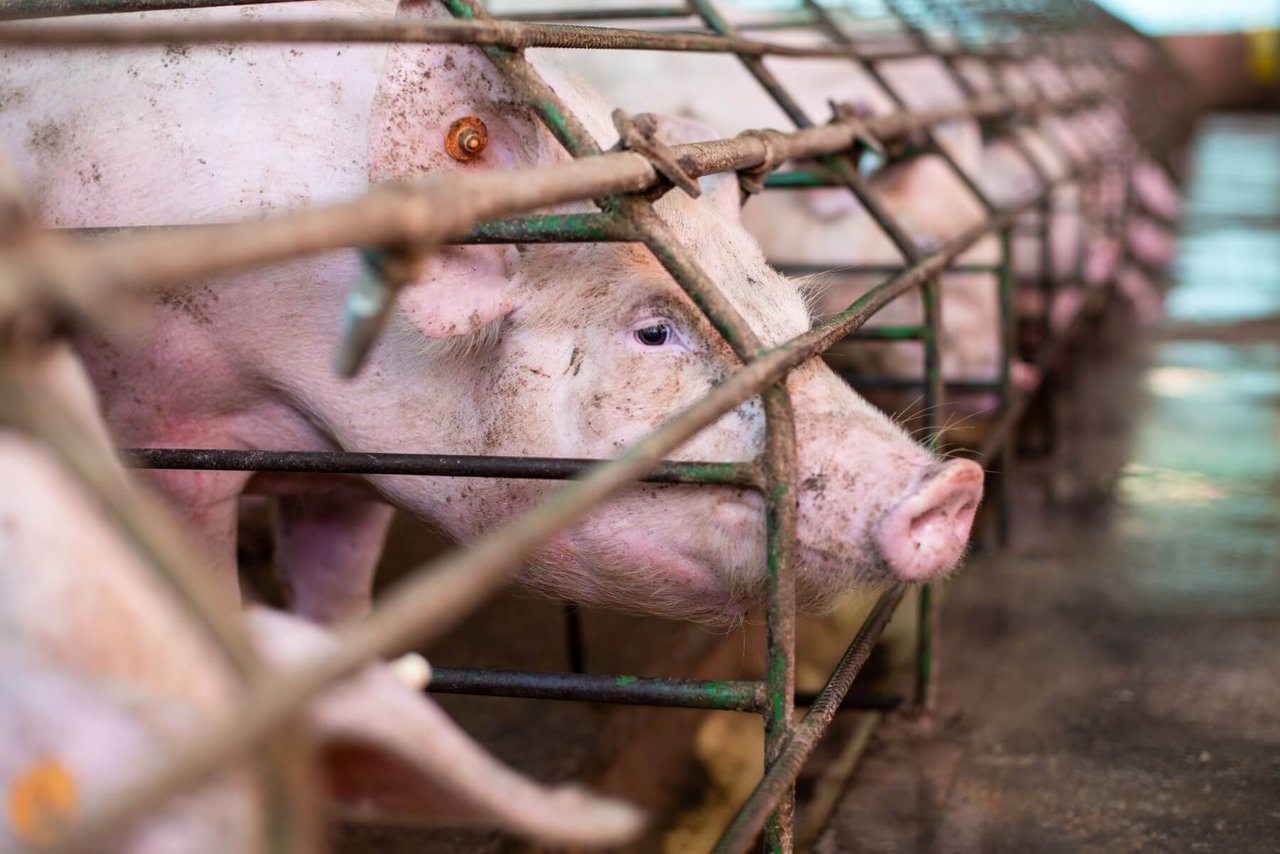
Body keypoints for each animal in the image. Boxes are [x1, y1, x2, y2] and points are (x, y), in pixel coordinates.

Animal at [0, 0, 983, 627]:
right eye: (653, 331)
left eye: (784, 306)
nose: (954, 486)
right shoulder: (166, 426)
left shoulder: (354, 471)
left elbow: (340, 600)